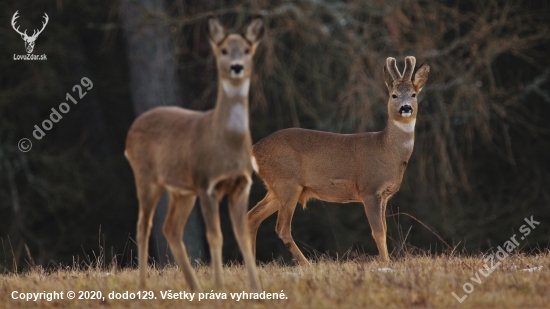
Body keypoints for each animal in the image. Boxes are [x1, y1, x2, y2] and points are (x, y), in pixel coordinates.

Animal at [126, 14, 264, 290]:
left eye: (247, 50)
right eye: (223, 50)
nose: (236, 67)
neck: (228, 145)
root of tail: (129, 135)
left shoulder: (242, 184)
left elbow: (242, 234)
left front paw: (256, 287)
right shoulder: (206, 184)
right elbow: (215, 236)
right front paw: (220, 286)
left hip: (181, 191)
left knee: (170, 228)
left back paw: (195, 287)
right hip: (147, 177)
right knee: (143, 225)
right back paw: (143, 286)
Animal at [247, 56, 432, 264]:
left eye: (414, 94)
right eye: (394, 95)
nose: (406, 108)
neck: (386, 149)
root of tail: (254, 150)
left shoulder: (384, 194)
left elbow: (384, 229)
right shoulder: (369, 189)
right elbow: (378, 231)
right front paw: (386, 263)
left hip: (277, 187)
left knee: (251, 217)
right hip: (286, 182)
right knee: (281, 228)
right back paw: (306, 264)